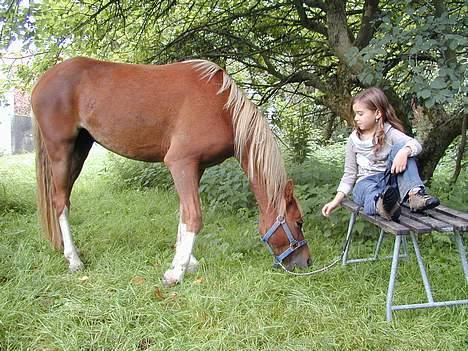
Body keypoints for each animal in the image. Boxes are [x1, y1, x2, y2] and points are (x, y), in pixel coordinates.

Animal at [33, 56, 310, 284]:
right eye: (299, 222)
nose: (307, 262)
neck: (222, 109)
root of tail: (41, 82)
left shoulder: (196, 168)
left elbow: (184, 214)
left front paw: (185, 262)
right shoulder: (181, 163)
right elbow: (194, 216)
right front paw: (176, 273)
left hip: (80, 150)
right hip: (61, 152)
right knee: (60, 202)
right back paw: (74, 260)